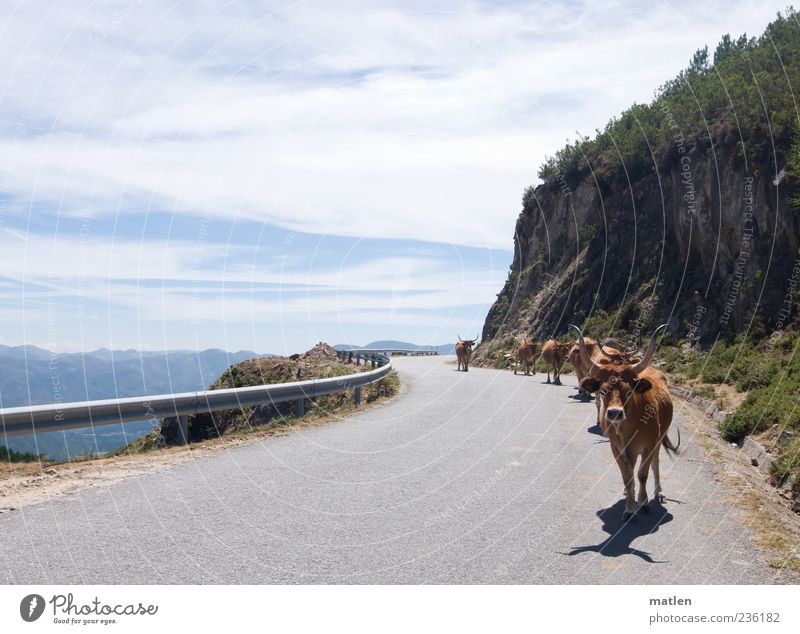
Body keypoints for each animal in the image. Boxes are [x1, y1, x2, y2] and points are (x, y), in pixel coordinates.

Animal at [572, 324, 680, 520]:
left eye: (629, 391)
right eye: (603, 390)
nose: (615, 412)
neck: (628, 428)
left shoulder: (649, 445)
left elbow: (643, 474)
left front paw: (643, 502)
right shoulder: (616, 448)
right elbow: (627, 476)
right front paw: (630, 508)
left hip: (659, 439)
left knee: (655, 463)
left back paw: (659, 493)